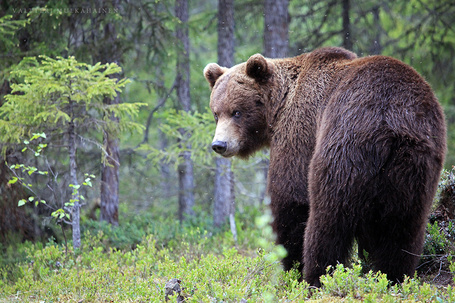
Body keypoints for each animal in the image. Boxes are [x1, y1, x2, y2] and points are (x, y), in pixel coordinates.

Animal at [205, 47, 448, 288]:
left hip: (344, 144)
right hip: (414, 163)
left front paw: (291, 266)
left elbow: (291, 196)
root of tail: (391, 122)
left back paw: (318, 277)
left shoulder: (301, 129)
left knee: (329, 218)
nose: (219, 144)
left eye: (237, 112)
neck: (280, 107)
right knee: (403, 226)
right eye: (216, 113)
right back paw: (393, 277)